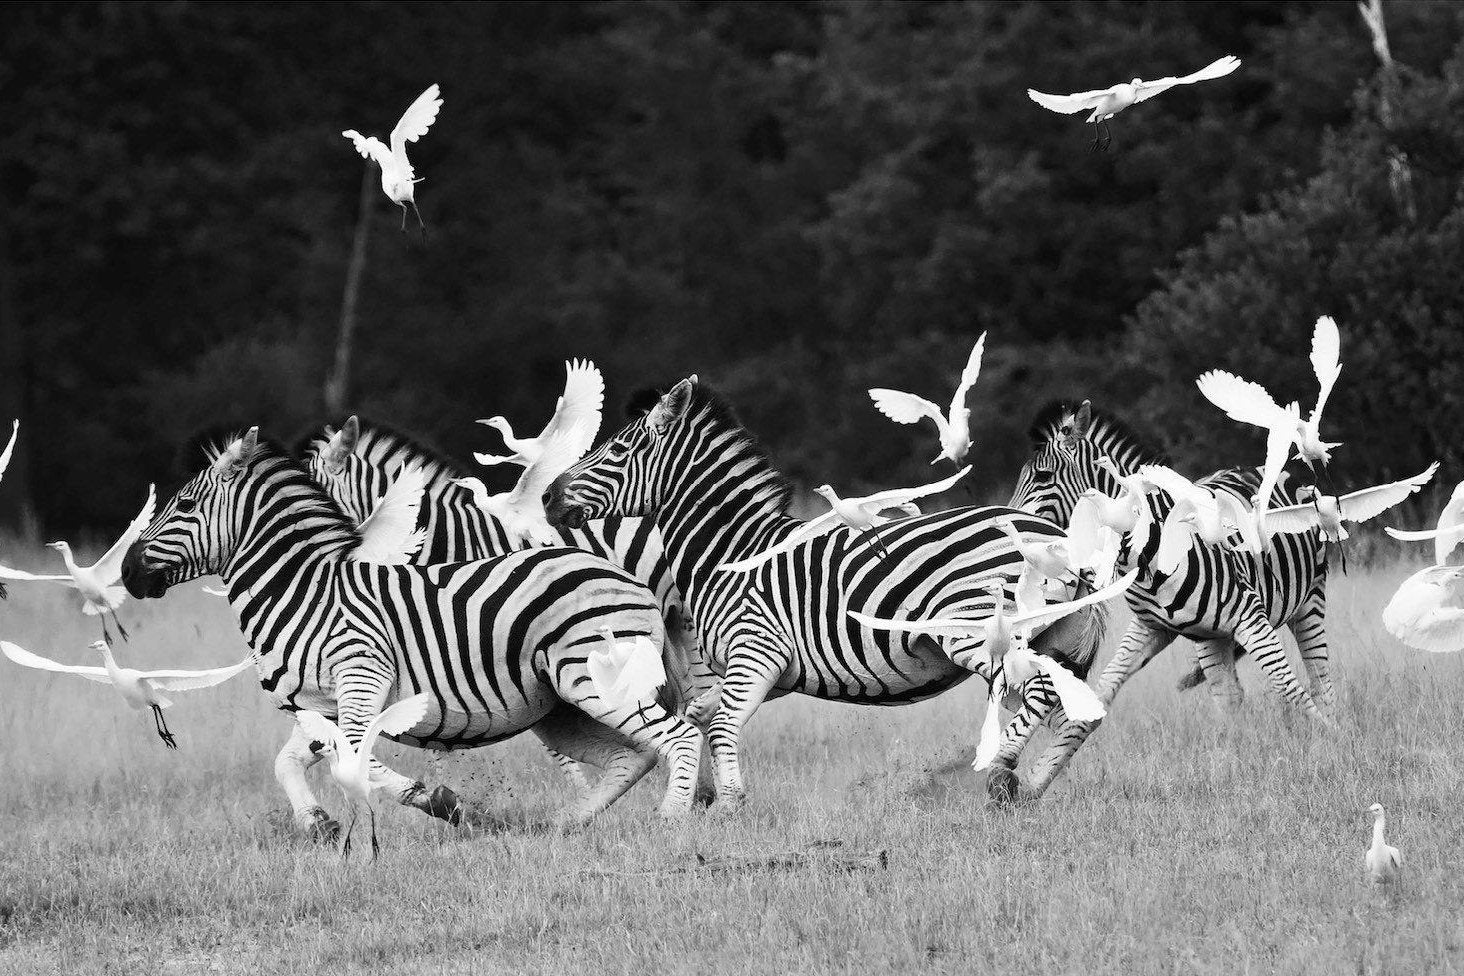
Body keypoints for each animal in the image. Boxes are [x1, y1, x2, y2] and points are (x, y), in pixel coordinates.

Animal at [119, 427, 705, 833]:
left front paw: (444, 804)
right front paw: (318, 824)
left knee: (679, 735)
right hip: (559, 706)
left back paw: (673, 821)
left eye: (184, 504)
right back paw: (564, 825)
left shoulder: (362, 677)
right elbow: (294, 761)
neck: (305, 589)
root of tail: (633, 583)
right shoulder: (317, 705)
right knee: (633, 754)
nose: (125, 571)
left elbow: (354, 759)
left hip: (592, 681)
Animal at [543, 377, 1110, 807]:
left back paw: (998, 770)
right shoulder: (766, 671)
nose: (546, 496)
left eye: (617, 449)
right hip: (1061, 637)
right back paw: (1020, 781)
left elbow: (722, 723)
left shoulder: (756, 650)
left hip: (978, 630)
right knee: (1067, 703)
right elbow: (701, 715)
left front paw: (728, 807)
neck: (729, 549)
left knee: (1036, 691)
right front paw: (710, 797)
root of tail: (1057, 538)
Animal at [1005, 399, 1331, 800]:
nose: (1006, 531)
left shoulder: (1250, 616)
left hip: (1310, 600)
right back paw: (1231, 763)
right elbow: (1097, 701)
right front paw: (1036, 780)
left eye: (1044, 476)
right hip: (1211, 637)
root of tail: (1255, 467)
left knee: (1319, 679)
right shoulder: (1148, 628)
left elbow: (1290, 687)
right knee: (1230, 697)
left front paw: (1329, 745)